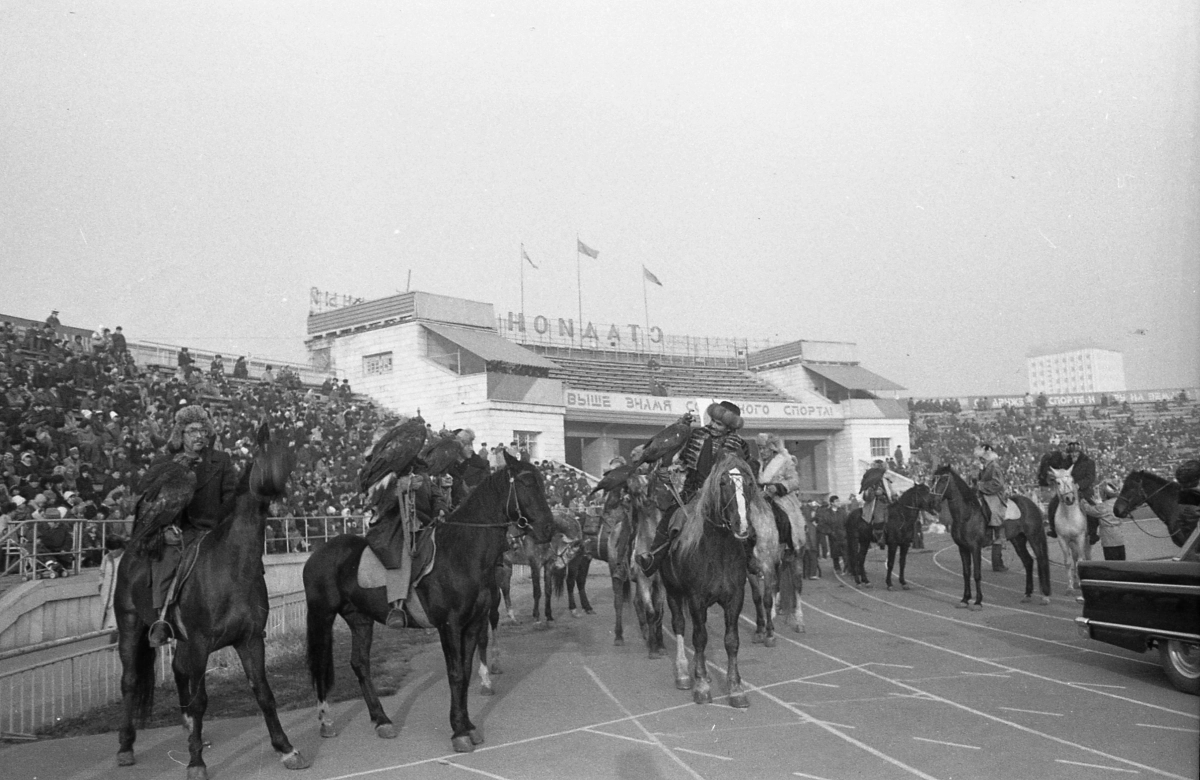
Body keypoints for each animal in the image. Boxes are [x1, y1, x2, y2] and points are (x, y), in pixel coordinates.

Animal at [114, 422, 307, 772]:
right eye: (264, 453)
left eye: (289, 457)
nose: (281, 494)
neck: (232, 566)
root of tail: (132, 549)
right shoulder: (201, 643)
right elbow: (201, 699)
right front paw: (195, 763)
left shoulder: (250, 639)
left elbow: (263, 692)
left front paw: (285, 747)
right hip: (130, 626)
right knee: (131, 681)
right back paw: (126, 745)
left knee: (177, 671)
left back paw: (190, 729)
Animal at [304, 453, 556, 748]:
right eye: (527, 483)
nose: (549, 528)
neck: (461, 553)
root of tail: (317, 553)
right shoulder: (449, 625)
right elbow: (455, 673)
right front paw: (459, 732)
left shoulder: (473, 624)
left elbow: (466, 671)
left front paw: (468, 726)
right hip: (322, 616)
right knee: (320, 664)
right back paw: (326, 722)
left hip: (360, 619)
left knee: (360, 664)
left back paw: (382, 720)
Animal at [657, 456, 758, 705]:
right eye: (723, 483)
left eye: (749, 484)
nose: (743, 526)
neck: (718, 551)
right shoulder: (696, 599)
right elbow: (699, 638)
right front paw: (701, 684)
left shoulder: (735, 598)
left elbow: (731, 641)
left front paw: (736, 688)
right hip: (673, 591)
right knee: (680, 625)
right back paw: (684, 673)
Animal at [931, 460, 988, 607]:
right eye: (933, 479)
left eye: (944, 479)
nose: (934, 503)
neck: (967, 515)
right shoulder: (962, 548)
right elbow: (966, 573)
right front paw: (965, 598)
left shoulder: (975, 547)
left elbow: (977, 574)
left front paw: (978, 601)